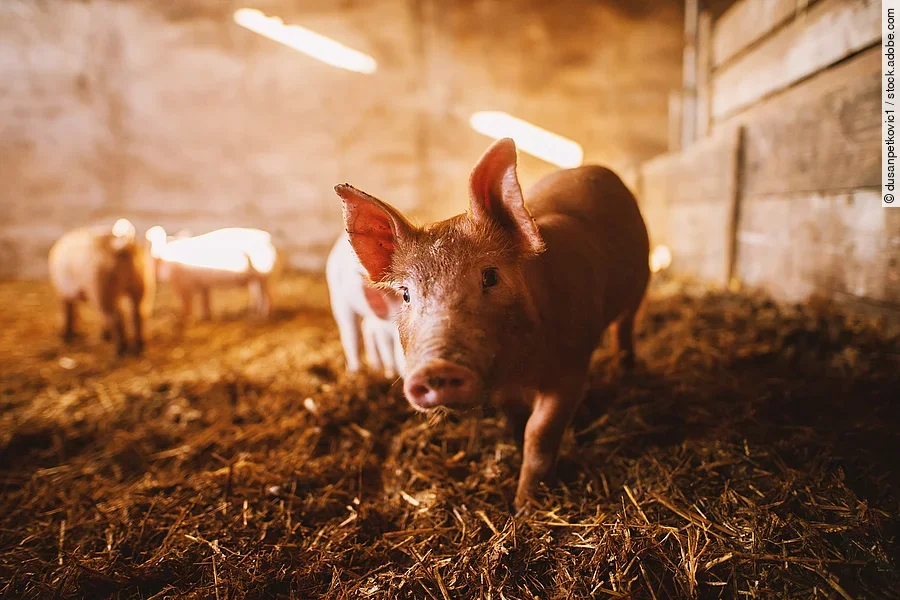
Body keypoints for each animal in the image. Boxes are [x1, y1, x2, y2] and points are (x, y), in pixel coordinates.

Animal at [48, 219, 155, 355]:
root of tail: (119, 246)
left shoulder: (63, 292)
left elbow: (68, 313)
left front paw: (65, 337)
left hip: (101, 288)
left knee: (116, 317)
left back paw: (119, 350)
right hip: (142, 283)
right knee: (138, 313)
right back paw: (138, 348)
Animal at [146, 226, 277, 321]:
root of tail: (269, 240)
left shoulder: (183, 285)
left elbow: (187, 304)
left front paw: (186, 319)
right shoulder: (203, 285)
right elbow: (206, 301)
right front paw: (206, 317)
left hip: (265, 274)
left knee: (268, 297)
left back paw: (262, 318)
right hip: (257, 279)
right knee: (260, 296)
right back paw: (254, 315)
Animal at [326, 233, 405, 378]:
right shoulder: (384, 327)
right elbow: (386, 348)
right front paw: (390, 374)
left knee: (366, 327)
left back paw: (375, 367)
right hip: (337, 295)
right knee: (351, 334)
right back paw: (355, 373)